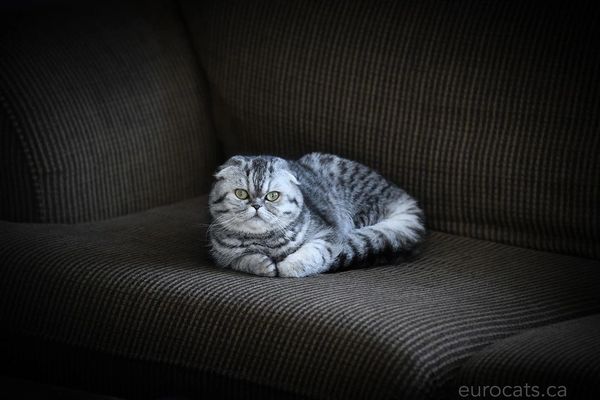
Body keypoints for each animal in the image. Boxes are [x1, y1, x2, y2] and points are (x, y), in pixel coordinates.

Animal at [209, 153, 424, 278]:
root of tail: (401, 196)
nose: (256, 206)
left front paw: (287, 266)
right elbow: (240, 260)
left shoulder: (330, 233)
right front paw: (261, 264)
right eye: (241, 194)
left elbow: (312, 253)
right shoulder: (221, 255)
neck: (264, 241)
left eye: (272, 196)